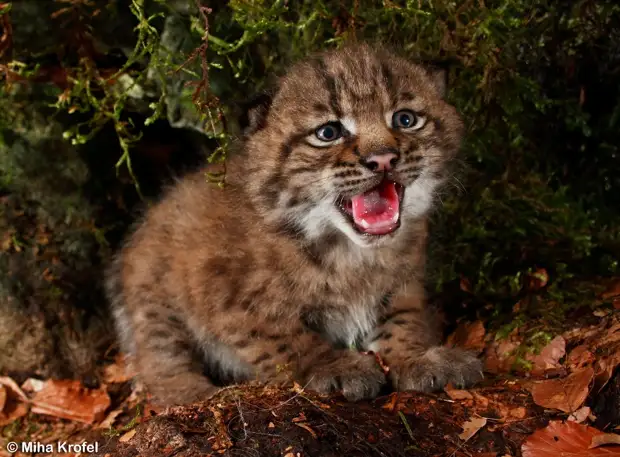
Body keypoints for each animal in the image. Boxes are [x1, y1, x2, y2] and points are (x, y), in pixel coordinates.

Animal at [106, 43, 484, 406]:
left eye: (405, 119)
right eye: (328, 132)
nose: (383, 159)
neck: (350, 251)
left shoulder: (406, 282)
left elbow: (403, 320)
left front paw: (416, 357)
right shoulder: (222, 296)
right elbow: (284, 336)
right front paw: (334, 366)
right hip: (153, 294)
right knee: (159, 358)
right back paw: (191, 395)